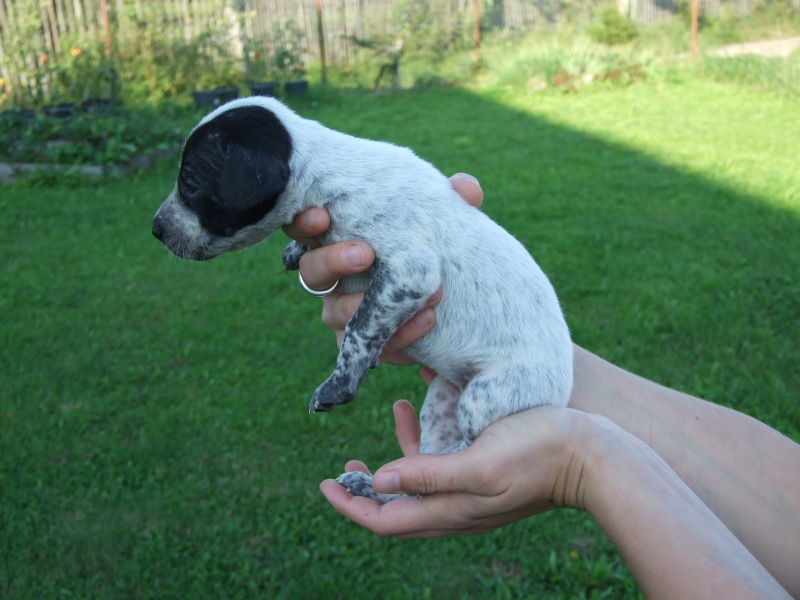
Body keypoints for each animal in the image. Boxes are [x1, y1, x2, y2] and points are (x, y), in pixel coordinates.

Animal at [152, 97, 573, 503]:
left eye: (190, 185)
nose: (155, 229)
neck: (325, 176)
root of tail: (563, 393)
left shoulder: (411, 272)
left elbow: (359, 327)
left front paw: (341, 382)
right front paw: (297, 249)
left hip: (486, 398)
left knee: (462, 455)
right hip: (442, 401)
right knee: (416, 481)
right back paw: (376, 486)